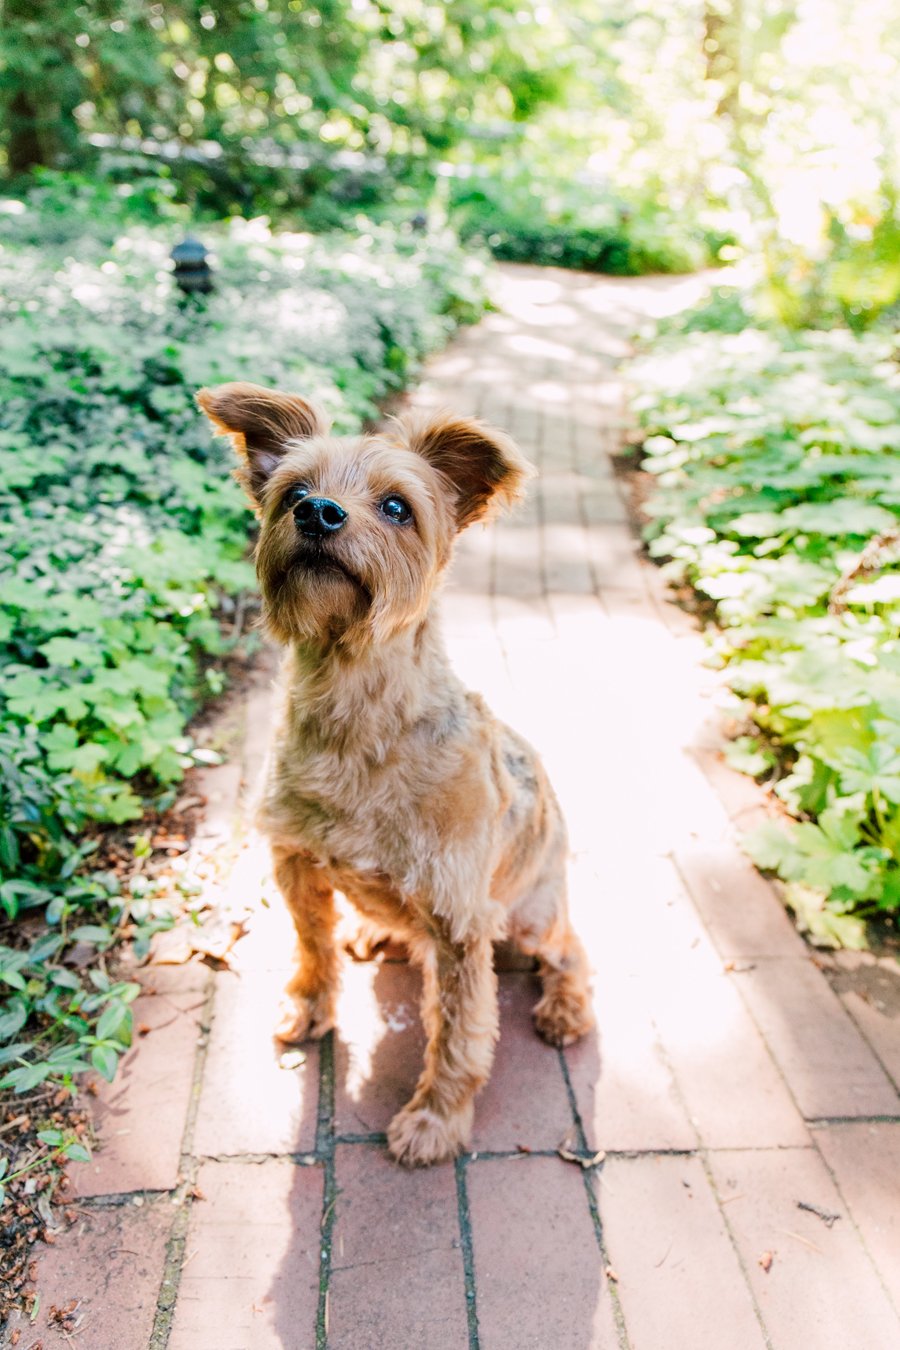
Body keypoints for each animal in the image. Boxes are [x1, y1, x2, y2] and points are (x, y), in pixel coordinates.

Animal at [197, 380, 591, 1161]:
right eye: (294, 492)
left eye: (397, 507)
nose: (318, 513)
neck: (357, 713)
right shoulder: (295, 863)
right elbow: (313, 946)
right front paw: (308, 1005)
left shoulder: (462, 925)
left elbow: (459, 1037)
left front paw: (435, 1120)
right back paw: (375, 930)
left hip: (533, 917)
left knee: (571, 949)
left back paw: (565, 1008)